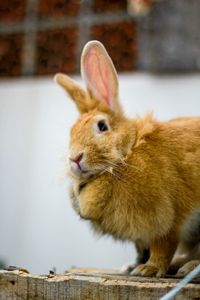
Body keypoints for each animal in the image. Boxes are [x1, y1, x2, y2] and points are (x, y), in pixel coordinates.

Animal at [54, 41, 200, 278]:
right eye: (71, 131)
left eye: (101, 126)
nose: (75, 158)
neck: (126, 156)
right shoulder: (141, 236)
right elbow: (142, 249)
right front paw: (132, 267)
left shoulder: (167, 220)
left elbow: (163, 246)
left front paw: (148, 270)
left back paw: (188, 268)